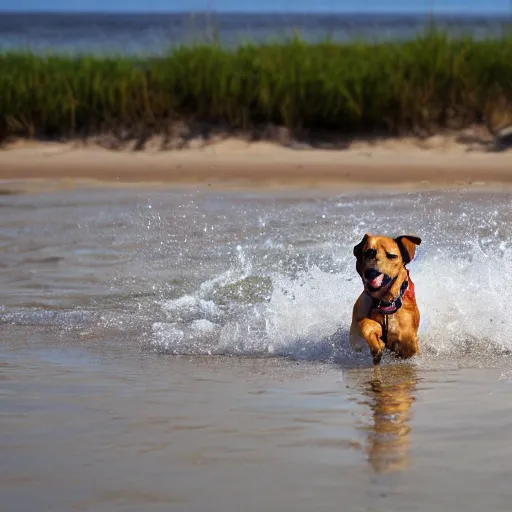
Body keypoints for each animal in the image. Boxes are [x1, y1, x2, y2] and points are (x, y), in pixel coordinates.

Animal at [350, 236, 422, 364]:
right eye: (368, 252)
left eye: (391, 255)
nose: (370, 272)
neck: (383, 301)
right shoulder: (354, 336)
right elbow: (364, 324)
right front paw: (377, 340)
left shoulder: (409, 340)